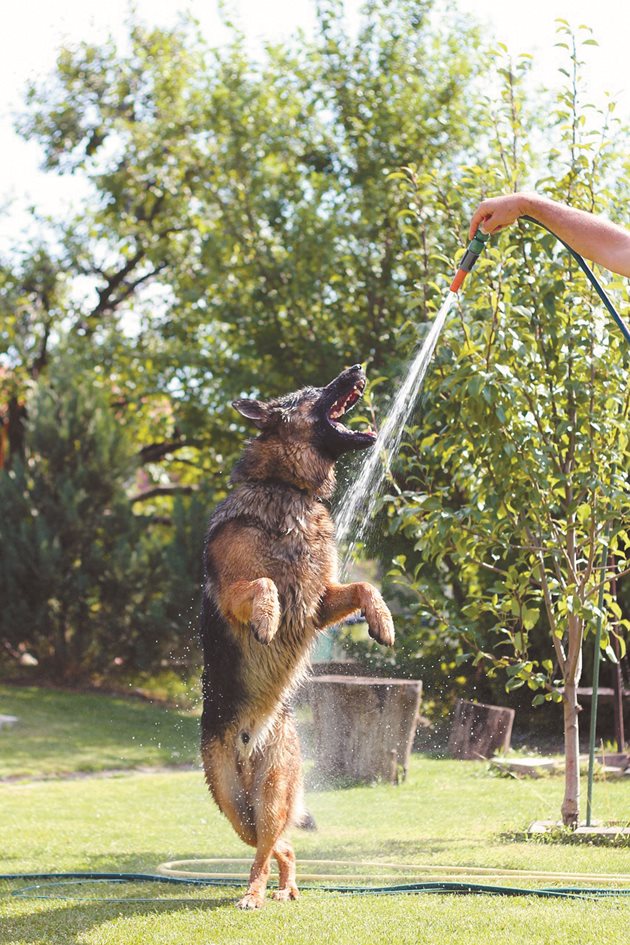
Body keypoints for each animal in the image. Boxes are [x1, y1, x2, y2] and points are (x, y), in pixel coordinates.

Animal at [200, 364, 396, 908]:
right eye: (313, 392)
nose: (358, 367)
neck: (287, 489)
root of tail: (248, 745)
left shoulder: (319, 603)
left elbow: (364, 585)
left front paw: (384, 621)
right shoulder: (232, 592)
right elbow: (264, 584)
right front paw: (267, 621)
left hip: (268, 794)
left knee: (276, 843)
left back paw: (277, 890)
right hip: (233, 804)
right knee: (271, 846)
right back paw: (257, 893)